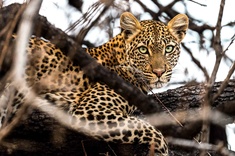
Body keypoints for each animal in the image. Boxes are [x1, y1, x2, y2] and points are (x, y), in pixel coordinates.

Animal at [0, 11, 188, 155]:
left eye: (168, 49)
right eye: (143, 49)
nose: (159, 72)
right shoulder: (89, 110)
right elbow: (147, 128)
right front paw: (161, 150)